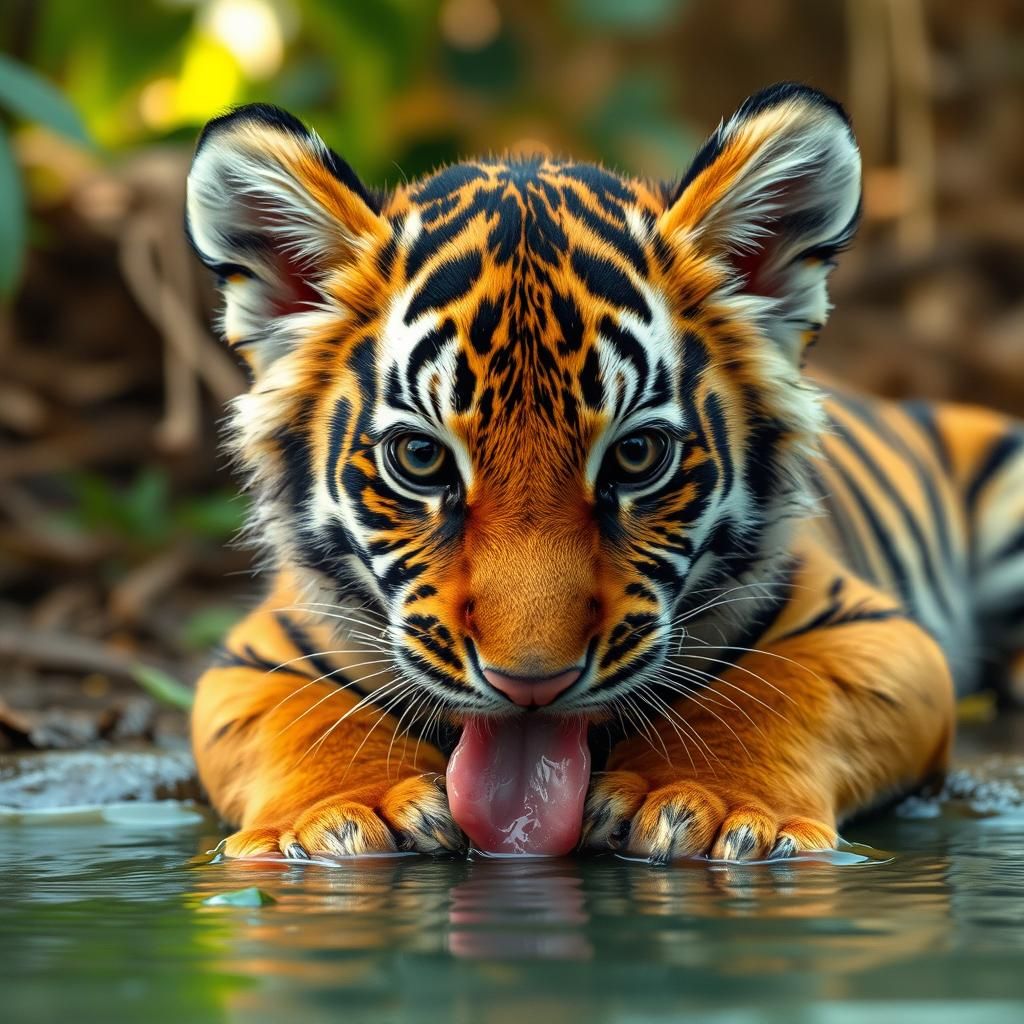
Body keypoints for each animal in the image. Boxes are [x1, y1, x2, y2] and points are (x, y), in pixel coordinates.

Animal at [185, 83, 1024, 863]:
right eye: (421, 459)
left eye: (636, 455)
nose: (531, 684)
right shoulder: (254, 653)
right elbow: (301, 718)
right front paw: (344, 814)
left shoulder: (872, 631)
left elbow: (778, 693)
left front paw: (706, 801)